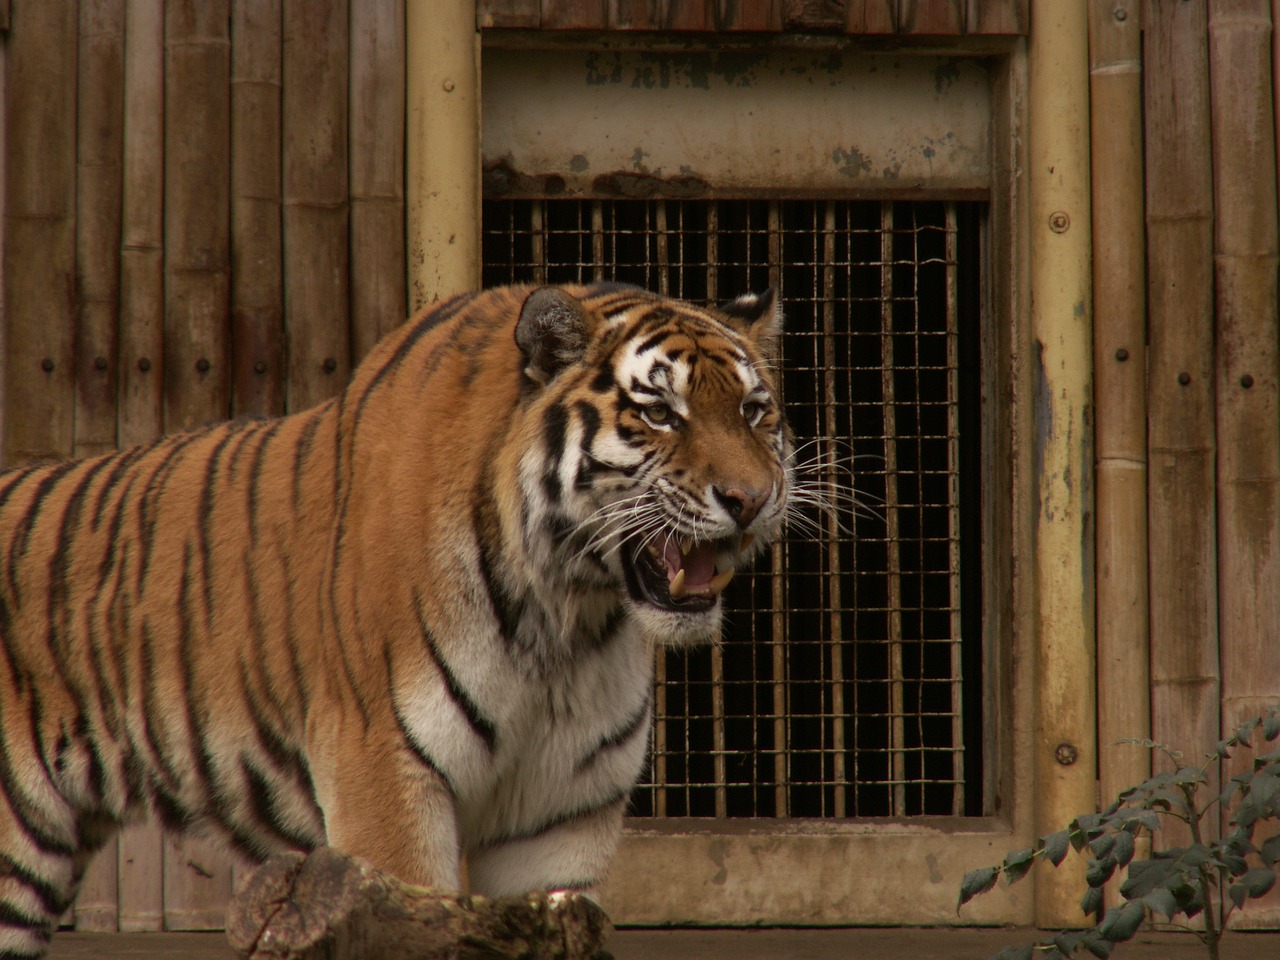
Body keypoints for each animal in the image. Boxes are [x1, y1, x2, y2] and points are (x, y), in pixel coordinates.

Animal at [0, 280, 788, 957]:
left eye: (753, 411)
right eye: (659, 413)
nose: (751, 499)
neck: (567, 617)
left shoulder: (559, 821)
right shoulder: (384, 777)